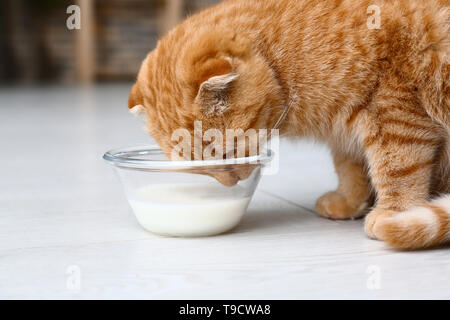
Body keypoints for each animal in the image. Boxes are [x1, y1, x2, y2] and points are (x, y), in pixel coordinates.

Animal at [128, 0, 448, 250]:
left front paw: (394, 212)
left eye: (225, 153)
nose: (232, 184)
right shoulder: (346, 131)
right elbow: (351, 168)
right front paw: (349, 201)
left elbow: (397, 168)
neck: (282, 59)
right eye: (197, 169)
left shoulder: (393, 109)